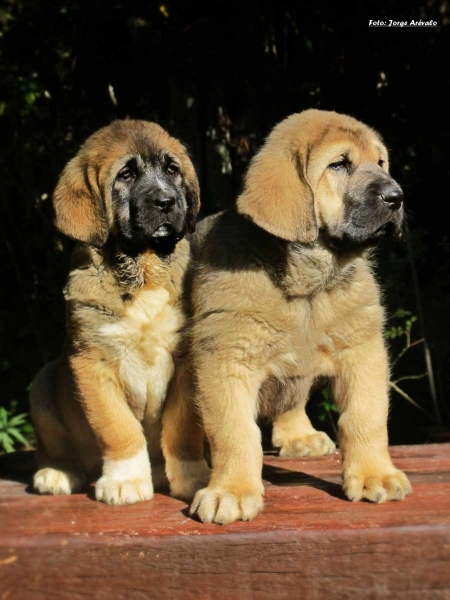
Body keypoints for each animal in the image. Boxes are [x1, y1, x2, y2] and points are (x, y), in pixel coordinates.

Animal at [29, 119, 202, 504]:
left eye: (172, 170)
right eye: (126, 175)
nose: (167, 201)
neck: (144, 270)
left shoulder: (187, 361)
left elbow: (183, 428)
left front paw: (193, 476)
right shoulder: (91, 361)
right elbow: (118, 427)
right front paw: (125, 480)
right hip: (43, 383)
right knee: (56, 450)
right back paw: (56, 473)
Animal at [163, 110, 414, 524]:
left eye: (380, 162)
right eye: (339, 165)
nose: (397, 196)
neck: (308, 285)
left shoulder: (362, 350)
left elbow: (365, 417)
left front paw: (374, 474)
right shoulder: (226, 358)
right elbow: (235, 432)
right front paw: (231, 490)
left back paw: (299, 435)